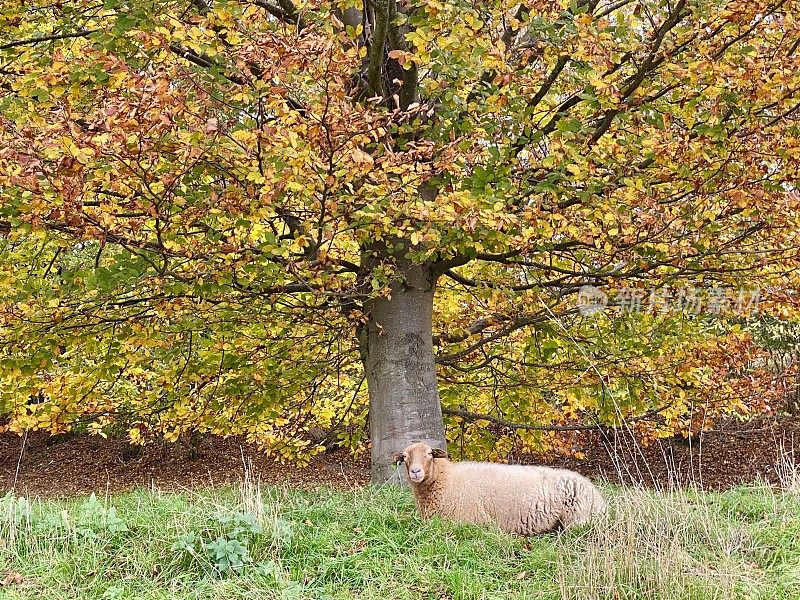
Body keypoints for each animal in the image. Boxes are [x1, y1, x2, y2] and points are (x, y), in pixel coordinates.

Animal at [394, 440, 608, 536]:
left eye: (429, 454)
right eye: (404, 457)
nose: (415, 471)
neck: (446, 480)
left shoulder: (468, 523)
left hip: (579, 518)